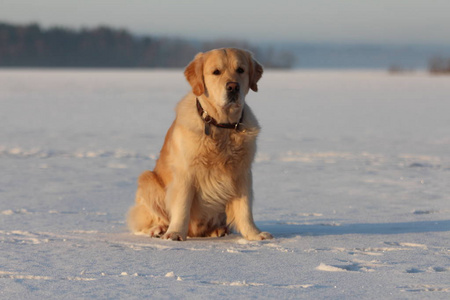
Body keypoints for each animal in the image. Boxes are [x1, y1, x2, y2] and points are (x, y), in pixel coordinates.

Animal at [127, 49, 274, 241]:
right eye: (216, 72)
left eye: (241, 70)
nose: (233, 87)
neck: (222, 127)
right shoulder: (185, 173)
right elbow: (182, 207)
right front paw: (175, 234)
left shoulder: (242, 172)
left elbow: (245, 209)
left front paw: (254, 234)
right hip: (147, 179)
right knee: (144, 221)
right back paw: (158, 229)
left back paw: (218, 230)